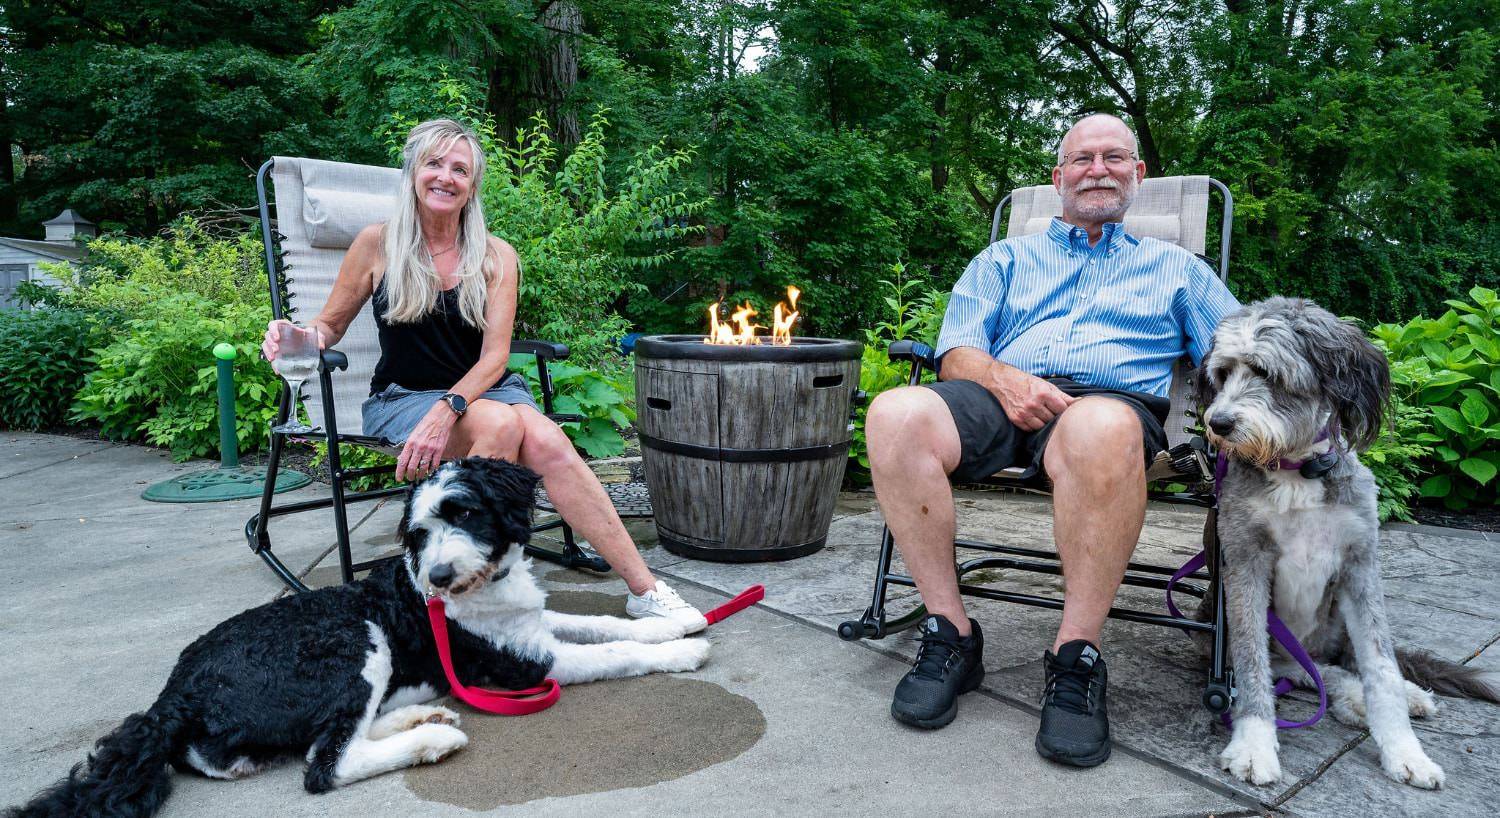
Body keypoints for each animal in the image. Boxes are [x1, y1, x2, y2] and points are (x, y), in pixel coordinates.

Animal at [7, 456, 708, 810]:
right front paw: (685, 650)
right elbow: (616, 652)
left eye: (464, 513)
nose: (438, 577)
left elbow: (601, 623)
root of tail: (171, 698)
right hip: (357, 641)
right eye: (418, 534)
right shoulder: (526, 664)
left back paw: (420, 716)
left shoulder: (534, 625)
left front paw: (679, 620)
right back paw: (429, 741)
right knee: (326, 765)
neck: (484, 587)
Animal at [1194, 297, 1500, 786]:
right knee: (1307, 669)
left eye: (1268, 373)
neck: (1296, 471)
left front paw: (1405, 752)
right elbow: (1252, 663)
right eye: (1223, 374)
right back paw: (1350, 698)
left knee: (1348, 662)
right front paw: (1254, 747)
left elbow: (1382, 665)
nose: (1218, 423)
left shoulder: (1360, 567)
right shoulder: (1245, 567)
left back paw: (1406, 694)